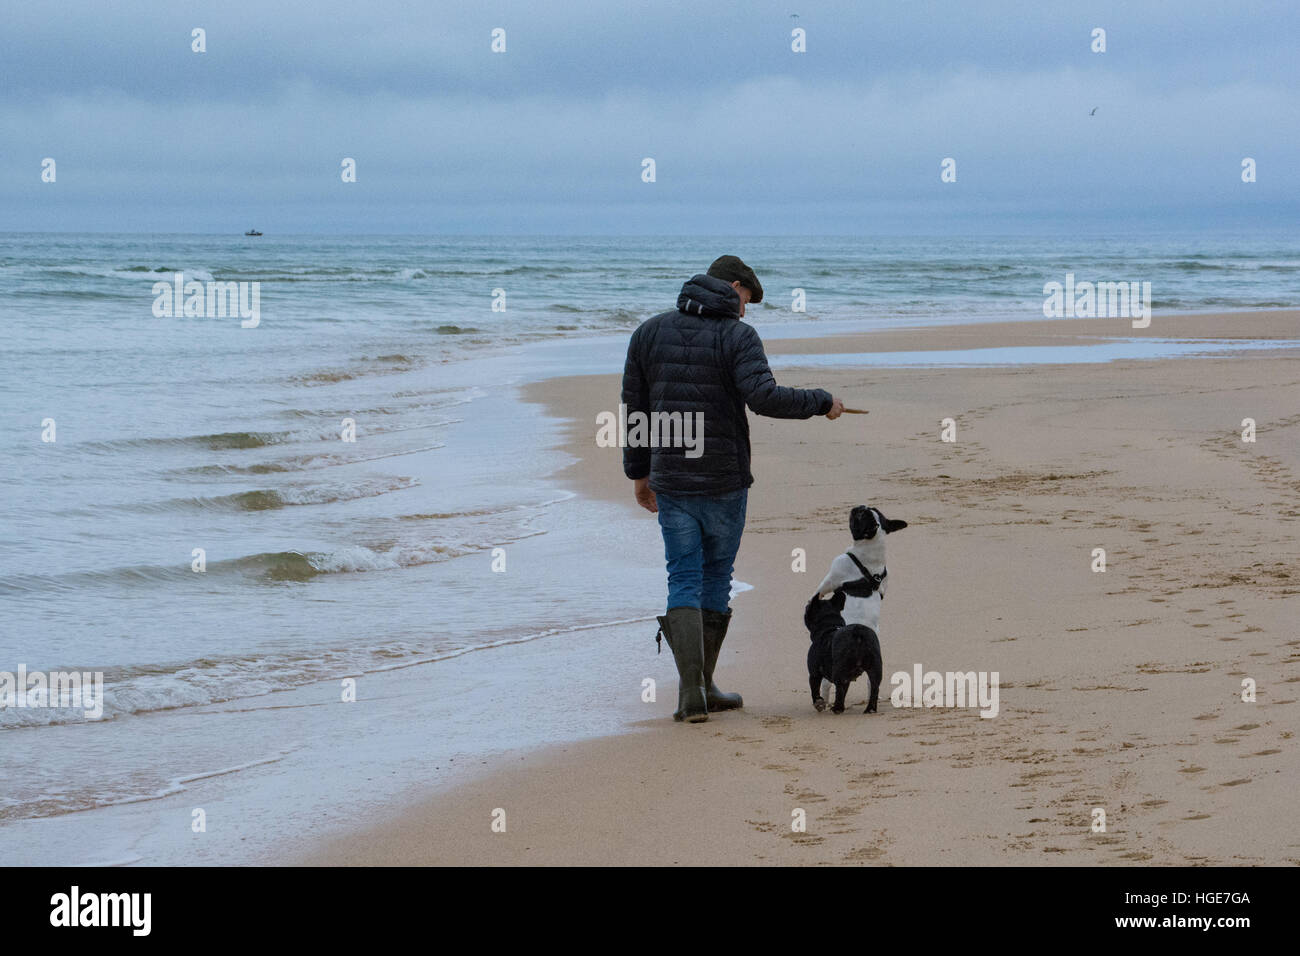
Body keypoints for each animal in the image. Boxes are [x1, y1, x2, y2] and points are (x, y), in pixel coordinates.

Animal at [806, 504, 909, 712]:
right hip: (875, 663)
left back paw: (826, 703)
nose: (860, 506)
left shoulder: (831, 576)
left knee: (826, 684)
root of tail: (859, 636)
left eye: (860, 515)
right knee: (872, 684)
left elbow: (818, 592)